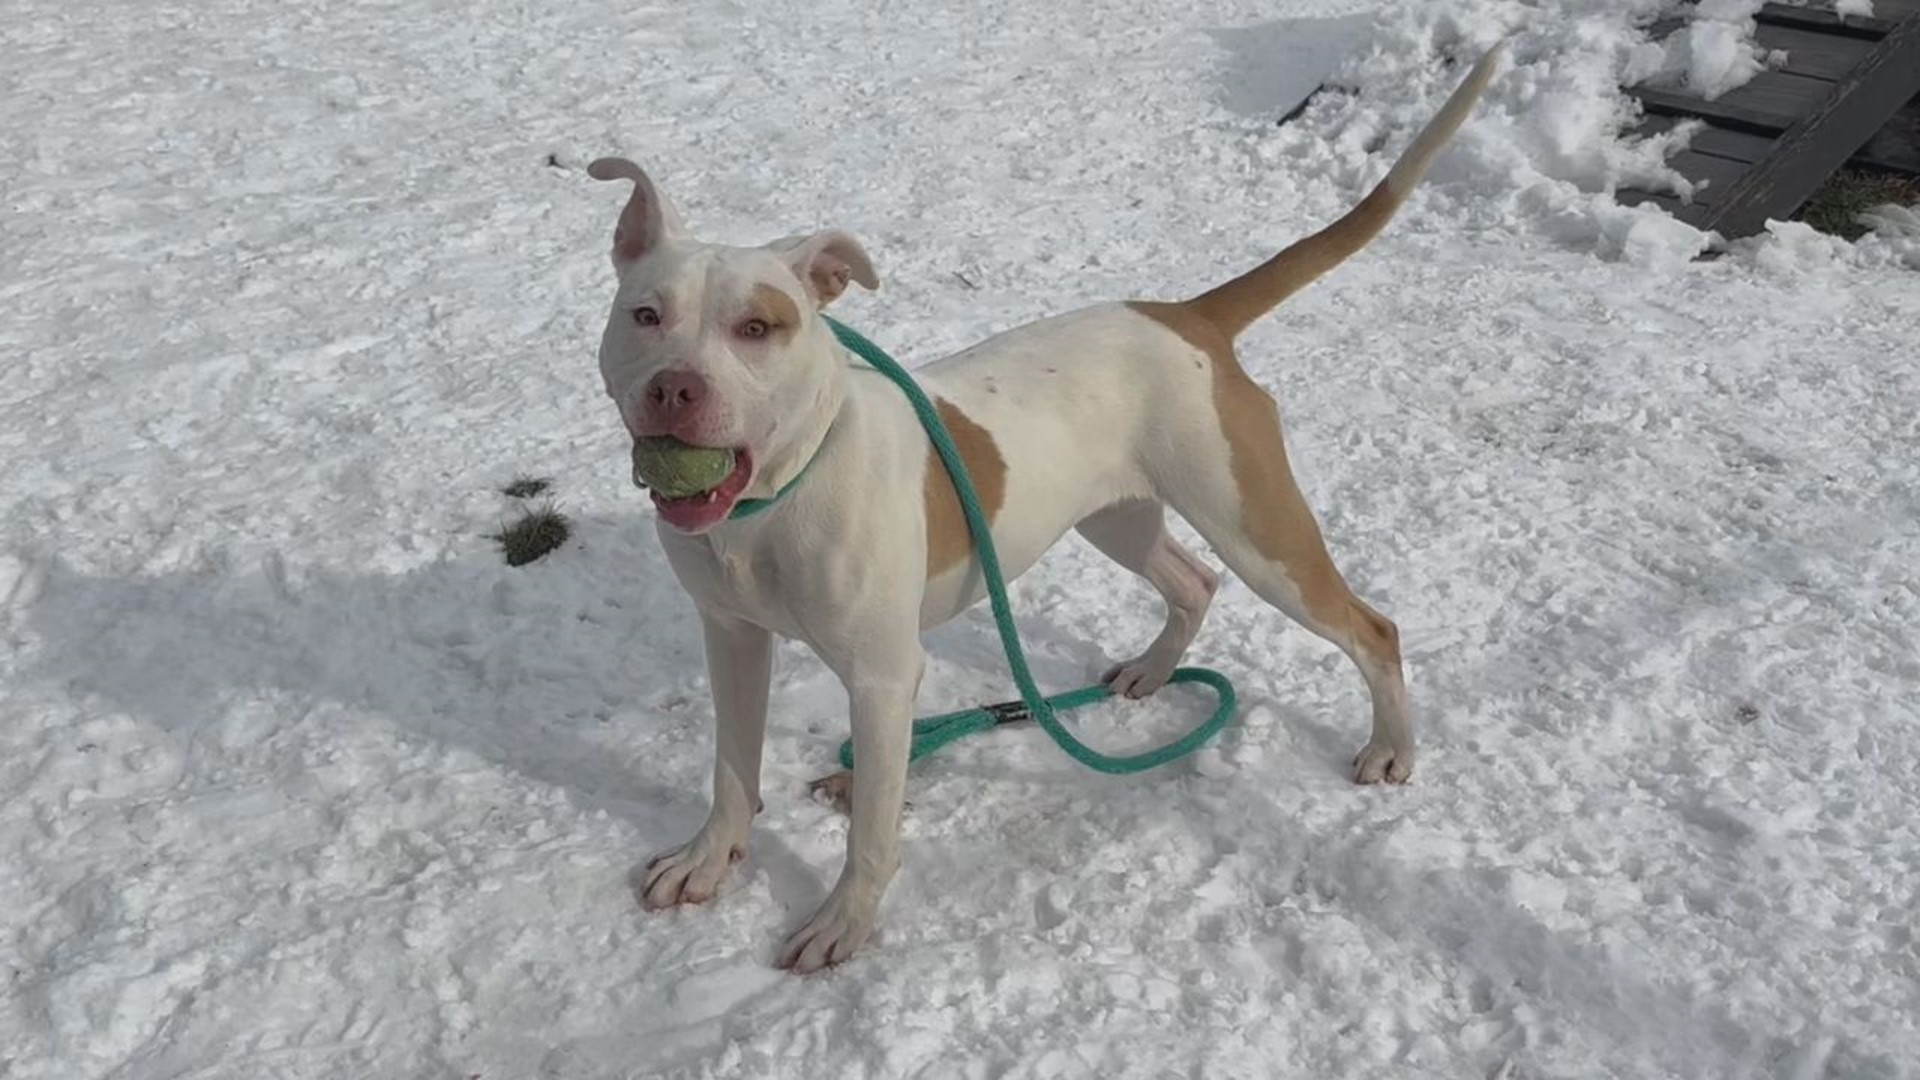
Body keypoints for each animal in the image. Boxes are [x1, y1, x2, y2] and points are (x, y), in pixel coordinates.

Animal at [583, 44, 1497, 968]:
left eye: (757, 329)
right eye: (646, 315)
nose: (675, 388)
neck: (773, 501)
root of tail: (1189, 317)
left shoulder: (883, 678)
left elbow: (871, 828)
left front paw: (843, 920)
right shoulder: (732, 637)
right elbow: (732, 768)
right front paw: (707, 861)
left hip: (1258, 531)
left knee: (1369, 627)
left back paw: (1389, 750)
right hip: (1117, 517)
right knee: (1192, 581)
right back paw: (1153, 671)